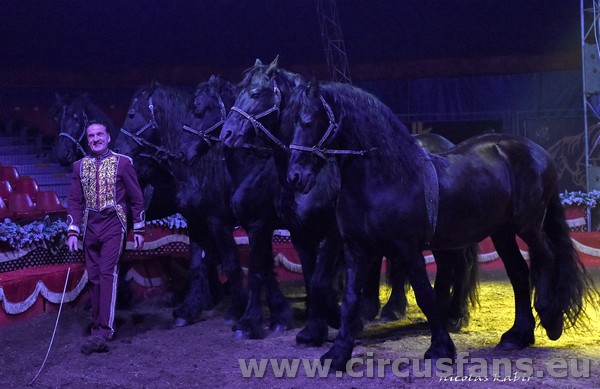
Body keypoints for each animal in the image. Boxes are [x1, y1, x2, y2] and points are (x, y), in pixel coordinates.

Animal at [282, 79, 596, 370]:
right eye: (290, 123)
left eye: (307, 121)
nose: (295, 177)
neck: (383, 178)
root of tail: (539, 151)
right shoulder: (357, 250)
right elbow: (349, 301)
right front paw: (337, 354)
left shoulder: (407, 249)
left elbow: (425, 295)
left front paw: (441, 348)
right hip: (502, 233)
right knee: (519, 273)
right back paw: (518, 335)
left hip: (527, 225)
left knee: (547, 256)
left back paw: (550, 317)